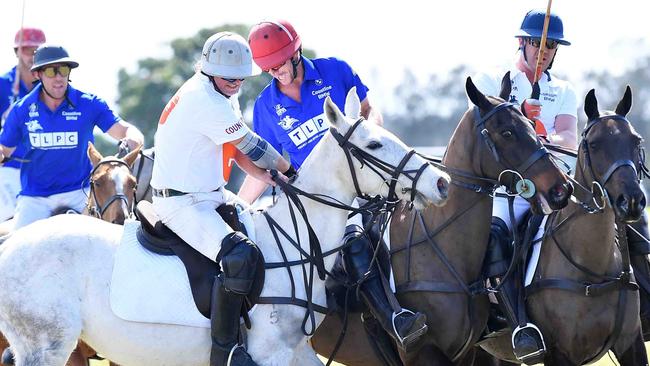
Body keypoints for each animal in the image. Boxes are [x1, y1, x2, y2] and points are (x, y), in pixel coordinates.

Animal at [0, 89, 448, 366]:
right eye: (373, 145)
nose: (440, 182)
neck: (297, 246)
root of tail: (8, 245)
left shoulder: (295, 351)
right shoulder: (270, 352)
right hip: (47, 345)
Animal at [474, 86, 644, 366]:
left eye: (636, 141)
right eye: (594, 144)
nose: (631, 201)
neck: (592, 272)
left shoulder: (631, 343)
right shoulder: (559, 353)